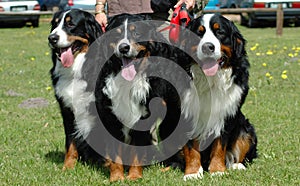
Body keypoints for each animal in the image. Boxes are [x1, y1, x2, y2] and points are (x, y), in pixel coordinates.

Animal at [47, 9, 102, 170]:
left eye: (70, 24)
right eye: (55, 24)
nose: (51, 38)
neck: (76, 69)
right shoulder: (67, 111)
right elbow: (70, 142)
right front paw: (68, 167)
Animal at [178, 13, 258, 179]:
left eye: (220, 32)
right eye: (199, 33)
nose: (207, 47)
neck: (211, 80)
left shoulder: (226, 113)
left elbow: (220, 144)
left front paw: (217, 170)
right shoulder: (188, 112)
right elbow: (190, 146)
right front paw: (192, 172)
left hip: (245, 128)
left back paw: (236, 165)